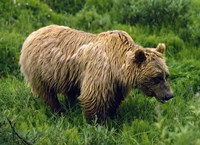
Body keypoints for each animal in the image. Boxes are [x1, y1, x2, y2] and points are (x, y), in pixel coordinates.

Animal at [19, 24, 173, 120]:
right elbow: (94, 97)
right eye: (156, 77)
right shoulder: (100, 70)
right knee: (47, 94)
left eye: (166, 75)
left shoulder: (117, 83)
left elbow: (115, 99)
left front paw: (111, 116)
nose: (169, 95)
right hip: (40, 70)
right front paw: (98, 122)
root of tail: (33, 33)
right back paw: (58, 111)